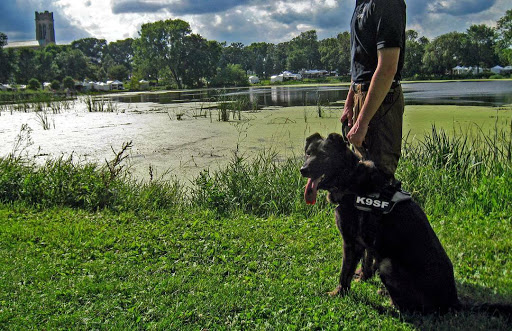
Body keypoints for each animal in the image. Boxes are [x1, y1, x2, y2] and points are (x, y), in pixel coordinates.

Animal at [300, 133, 460, 314]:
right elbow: (366, 262)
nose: (303, 170)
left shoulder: (351, 243)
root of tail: (454, 302)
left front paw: (338, 293)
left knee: (407, 308)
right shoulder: (367, 243)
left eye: (324, 155)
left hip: (387, 265)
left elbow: (344, 273)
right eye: (308, 153)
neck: (350, 178)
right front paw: (362, 277)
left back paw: (388, 301)